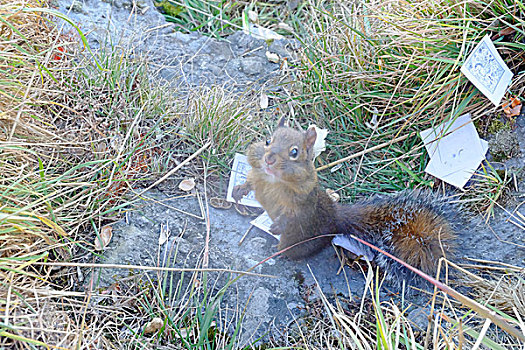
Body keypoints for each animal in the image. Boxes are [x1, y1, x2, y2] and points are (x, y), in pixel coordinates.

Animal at [231, 117, 456, 288]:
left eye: (294, 152)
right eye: (268, 140)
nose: (268, 159)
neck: (273, 180)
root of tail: (335, 218)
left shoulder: (301, 201)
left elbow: (291, 215)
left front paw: (277, 225)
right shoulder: (258, 176)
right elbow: (250, 182)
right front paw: (239, 190)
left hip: (298, 240)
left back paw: (278, 252)